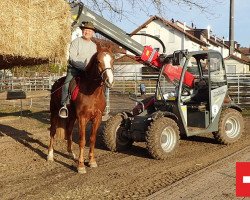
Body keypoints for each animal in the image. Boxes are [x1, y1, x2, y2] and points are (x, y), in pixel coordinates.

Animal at [47, 45, 114, 173]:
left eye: (112, 60)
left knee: (69, 131)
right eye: (98, 61)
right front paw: (81, 165)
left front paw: (92, 161)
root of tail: (55, 83)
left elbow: (92, 139)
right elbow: (82, 140)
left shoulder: (97, 118)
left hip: (72, 117)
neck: (92, 92)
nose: (109, 81)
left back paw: (71, 153)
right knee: (52, 132)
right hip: (54, 113)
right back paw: (50, 156)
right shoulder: (82, 118)